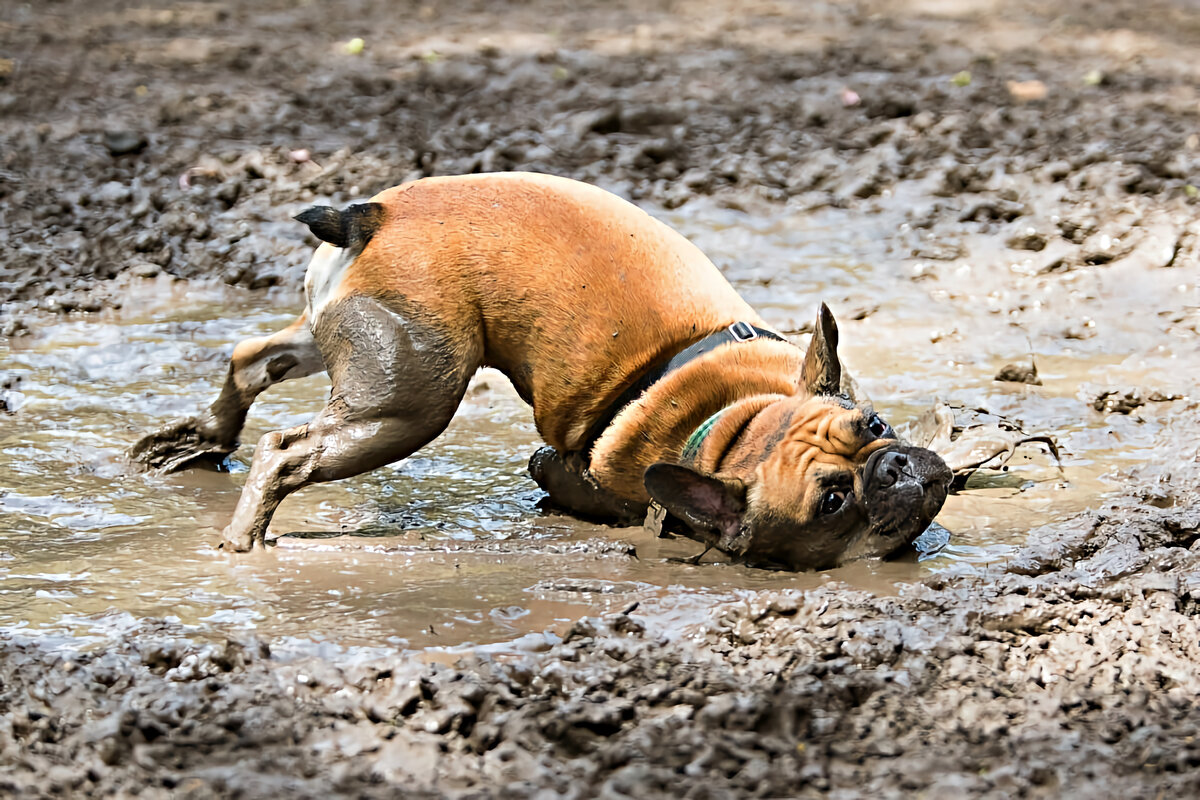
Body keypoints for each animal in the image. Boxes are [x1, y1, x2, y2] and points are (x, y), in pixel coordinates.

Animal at [131, 173, 950, 568]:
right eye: (832, 503)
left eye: (874, 422)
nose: (894, 467)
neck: (729, 419)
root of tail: (371, 218)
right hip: (407, 404)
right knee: (286, 451)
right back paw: (242, 541)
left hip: (338, 340)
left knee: (248, 359)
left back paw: (200, 441)